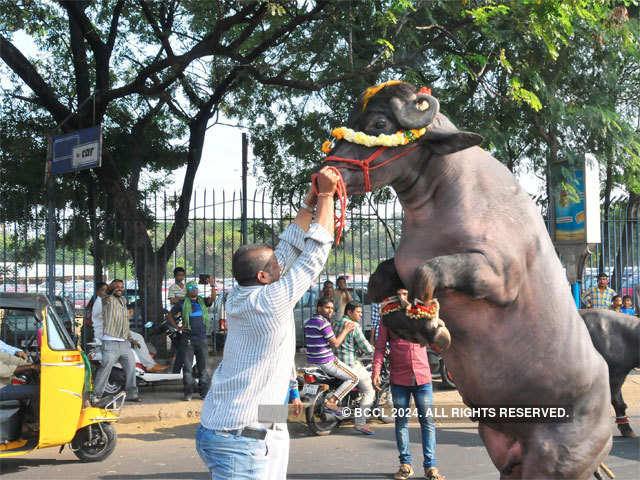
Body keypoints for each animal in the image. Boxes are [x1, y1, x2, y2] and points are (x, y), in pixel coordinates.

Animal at [320, 80, 608, 478]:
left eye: (379, 123)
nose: (326, 170)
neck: (439, 202)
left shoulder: (497, 275)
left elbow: (429, 270)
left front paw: (433, 329)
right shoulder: (402, 262)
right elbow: (382, 279)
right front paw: (404, 318)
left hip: (556, 461)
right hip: (505, 453)